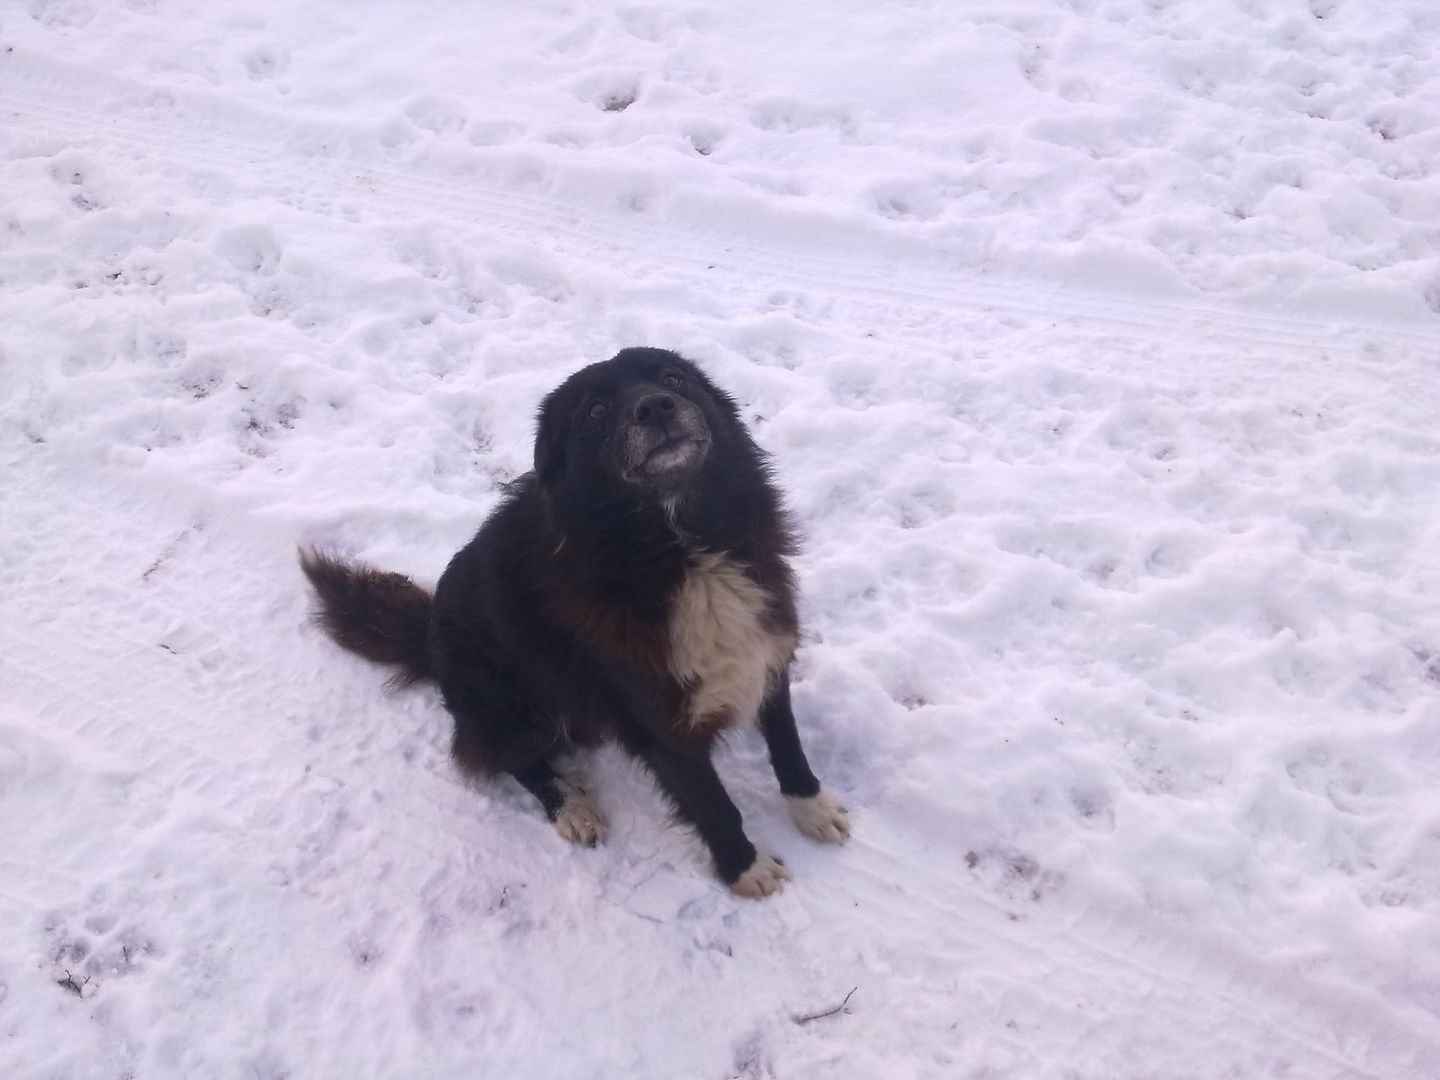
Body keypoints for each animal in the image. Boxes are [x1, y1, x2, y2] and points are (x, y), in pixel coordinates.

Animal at [299, 347, 846, 898]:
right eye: (596, 411)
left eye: (673, 379)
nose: (656, 407)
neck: (678, 548)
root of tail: (429, 638)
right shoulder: (659, 721)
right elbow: (711, 801)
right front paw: (744, 867)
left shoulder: (765, 650)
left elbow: (788, 744)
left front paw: (812, 808)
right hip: (520, 709)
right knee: (506, 759)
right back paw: (571, 805)